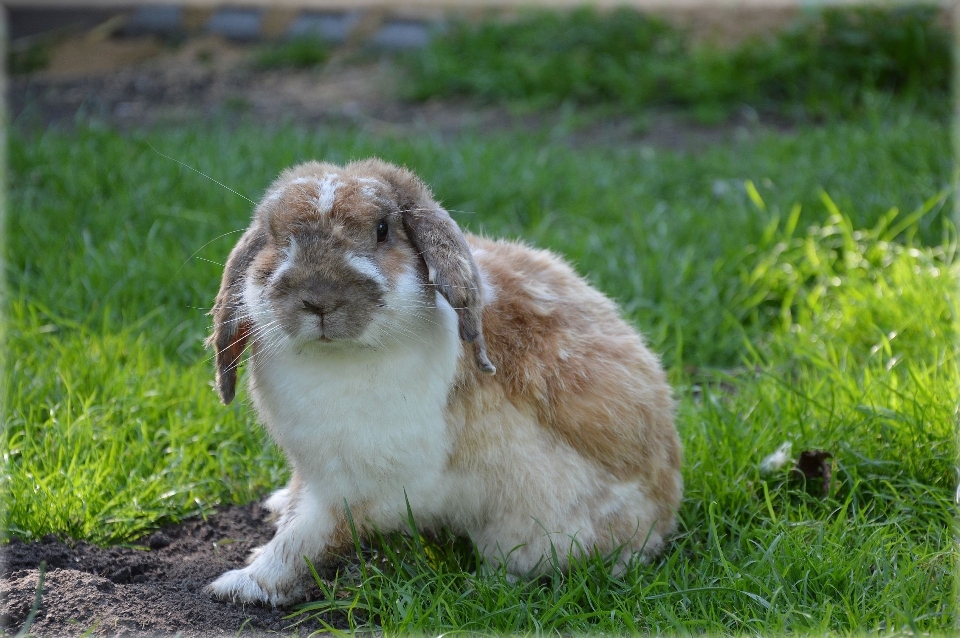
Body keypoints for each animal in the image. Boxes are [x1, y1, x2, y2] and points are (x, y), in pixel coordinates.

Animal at [202, 158, 684, 608]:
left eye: (383, 230)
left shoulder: (355, 490)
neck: (337, 356)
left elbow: (301, 539)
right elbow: (297, 515)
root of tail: (666, 506)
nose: (319, 299)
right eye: (274, 235)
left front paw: (240, 585)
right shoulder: (318, 470)